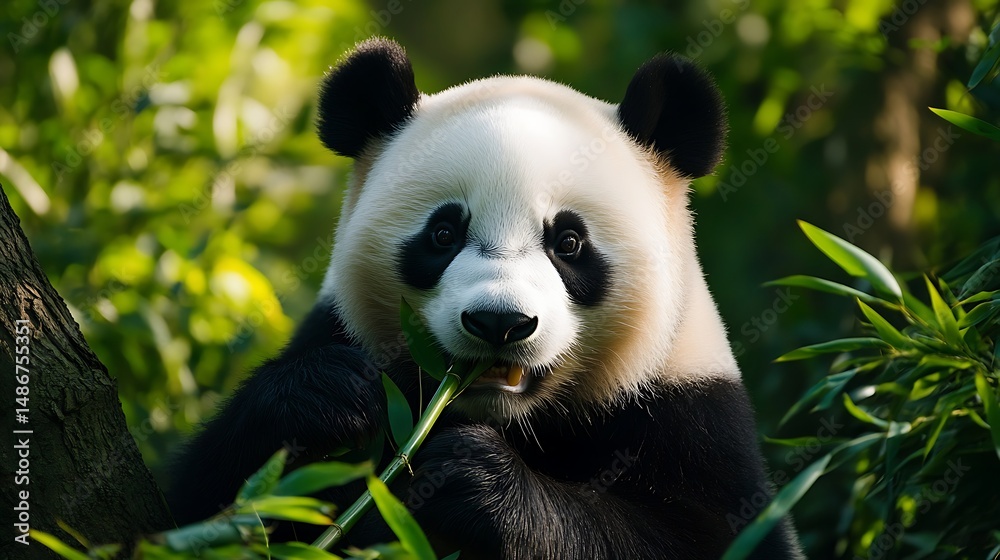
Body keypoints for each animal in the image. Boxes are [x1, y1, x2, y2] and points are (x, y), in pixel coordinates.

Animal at [169, 38, 803, 560]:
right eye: (443, 233)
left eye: (568, 242)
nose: (500, 322)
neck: (510, 419)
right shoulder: (341, 333)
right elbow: (198, 506)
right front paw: (323, 399)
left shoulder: (687, 410)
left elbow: (714, 539)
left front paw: (476, 482)